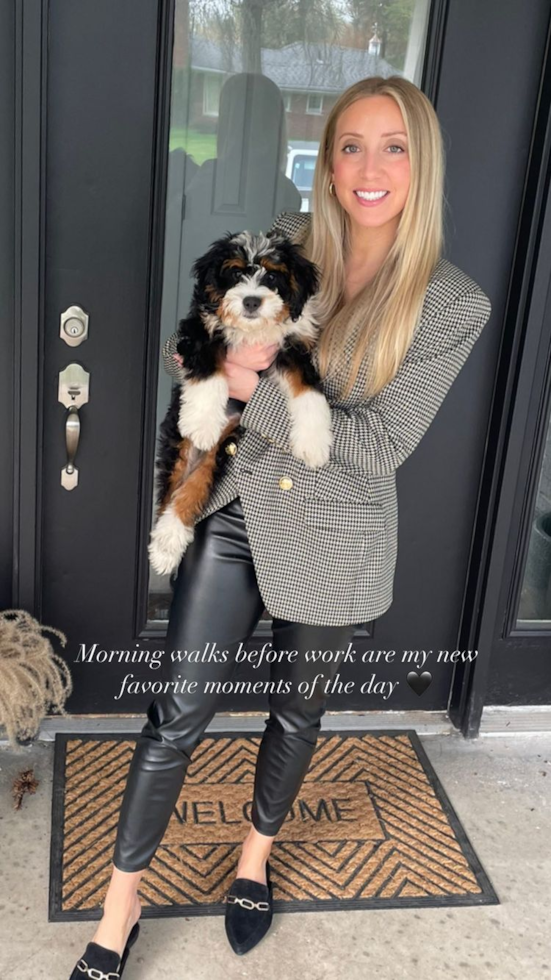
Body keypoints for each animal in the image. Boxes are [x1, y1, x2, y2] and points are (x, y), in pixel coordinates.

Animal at [147, 228, 334, 576]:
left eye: (272, 275)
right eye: (235, 272)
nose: (251, 301)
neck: (252, 332)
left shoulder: (293, 347)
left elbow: (310, 392)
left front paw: (314, 443)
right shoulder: (200, 331)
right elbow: (211, 369)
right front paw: (202, 421)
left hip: (220, 452)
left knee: (193, 488)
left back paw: (169, 542)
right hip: (179, 443)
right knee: (171, 488)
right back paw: (163, 550)